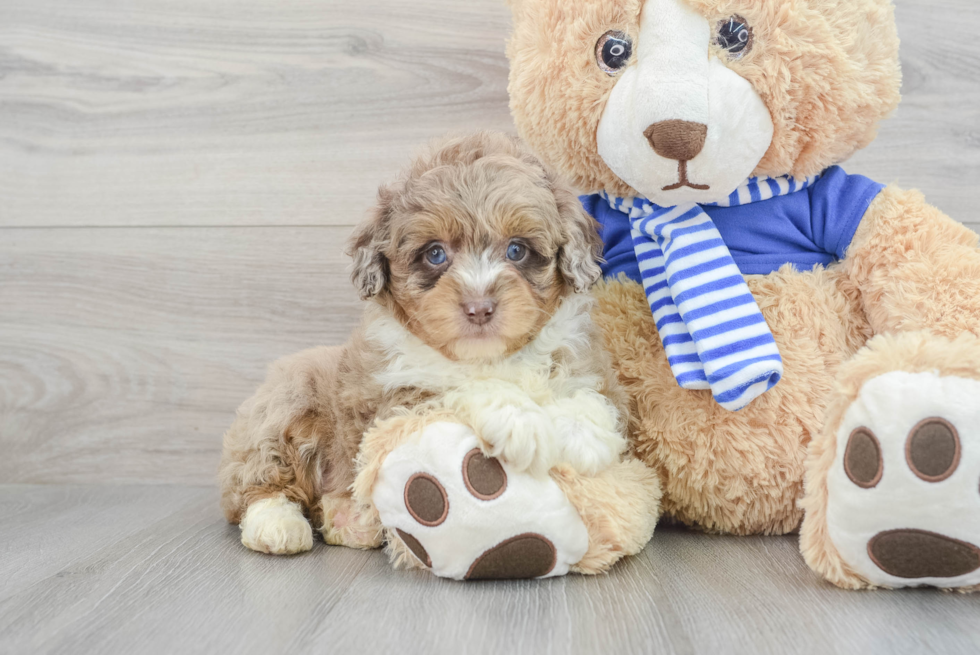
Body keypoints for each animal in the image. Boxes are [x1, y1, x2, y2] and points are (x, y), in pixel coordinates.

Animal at [218, 132, 628, 552]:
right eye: (435, 253)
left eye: (517, 249)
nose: (479, 307)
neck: (486, 358)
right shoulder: (392, 403)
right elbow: (457, 389)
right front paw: (520, 422)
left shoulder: (589, 363)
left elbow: (595, 396)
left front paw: (585, 435)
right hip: (287, 402)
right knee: (256, 482)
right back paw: (277, 524)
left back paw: (348, 519)